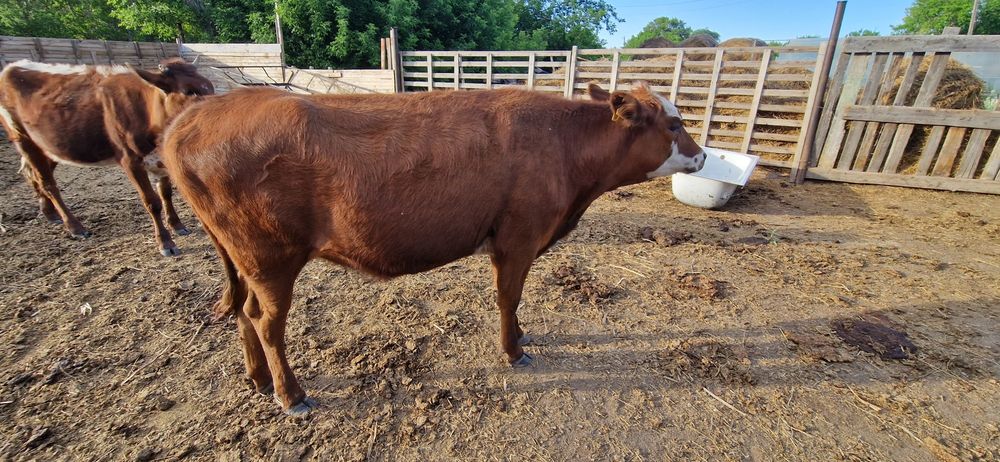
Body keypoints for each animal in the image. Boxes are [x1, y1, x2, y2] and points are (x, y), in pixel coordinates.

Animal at [0, 58, 214, 256]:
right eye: (189, 91)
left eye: (209, 86)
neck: (147, 110)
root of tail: (11, 68)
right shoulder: (130, 160)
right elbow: (152, 201)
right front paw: (165, 243)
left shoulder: (159, 159)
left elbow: (165, 193)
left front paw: (177, 225)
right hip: (24, 139)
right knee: (48, 184)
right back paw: (75, 227)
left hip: (50, 146)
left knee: (35, 176)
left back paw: (50, 213)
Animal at [162, 82, 706, 415]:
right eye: (675, 124)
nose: (702, 156)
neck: (564, 145)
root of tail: (199, 114)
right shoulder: (518, 238)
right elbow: (508, 297)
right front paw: (514, 350)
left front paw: (522, 337)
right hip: (270, 258)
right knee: (265, 321)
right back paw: (291, 395)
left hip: (248, 261)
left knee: (244, 313)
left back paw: (258, 380)